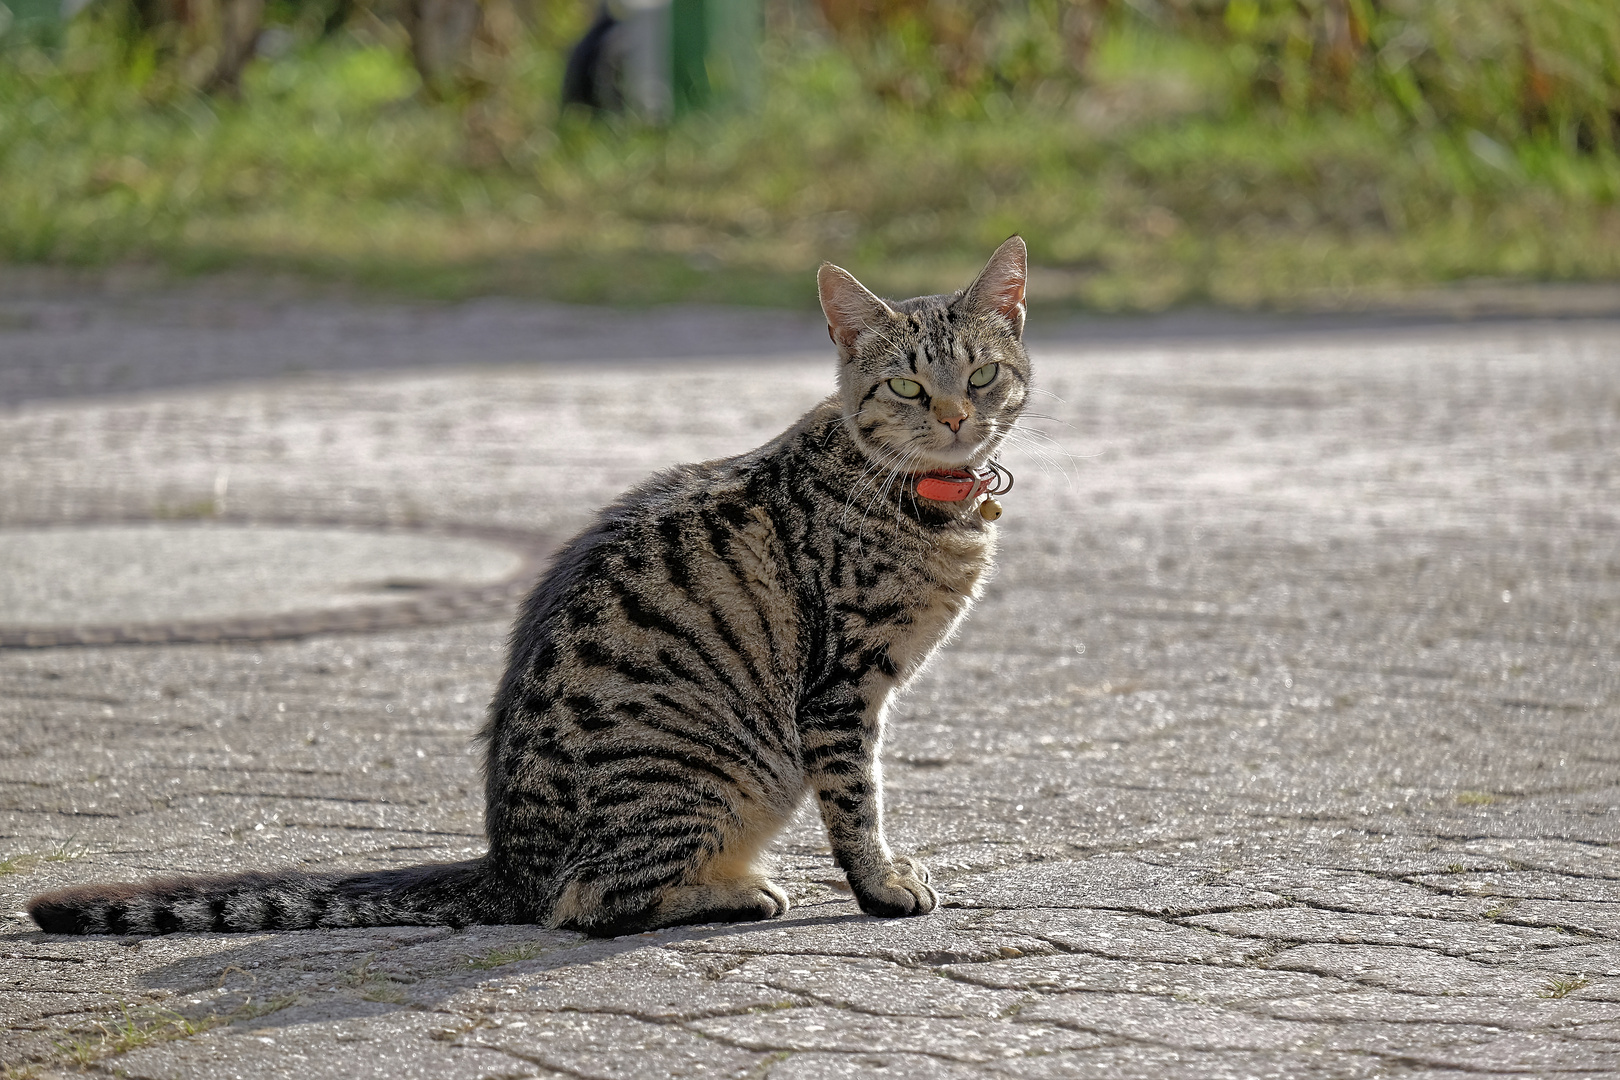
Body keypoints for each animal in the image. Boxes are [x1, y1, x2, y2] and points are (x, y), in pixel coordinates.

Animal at [25, 236, 1030, 939]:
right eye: (905, 387)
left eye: (982, 374)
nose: (954, 416)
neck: (925, 501)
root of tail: (510, 860)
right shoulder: (839, 690)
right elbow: (857, 802)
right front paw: (882, 885)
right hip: (715, 773)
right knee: (585, 904)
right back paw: (734, 893)